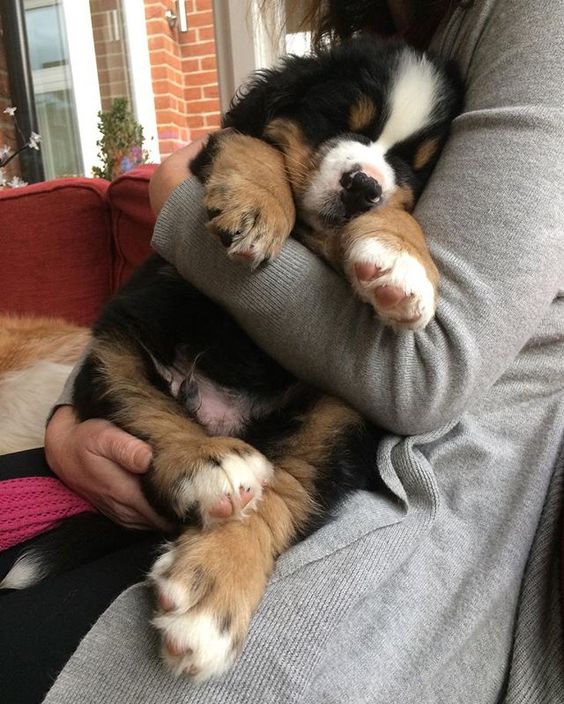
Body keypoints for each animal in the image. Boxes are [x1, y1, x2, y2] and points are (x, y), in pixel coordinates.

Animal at [6, 37, 460, 676]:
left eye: (412, 162)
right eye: (337, 119)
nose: (363, 186)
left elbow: (401, 207)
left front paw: (403, 262)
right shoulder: (221, 147)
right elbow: (251, 144)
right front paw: (258, 205)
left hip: (338, 411)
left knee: (285, 488)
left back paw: (212, 592)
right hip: (115, 349)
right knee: (147, 410)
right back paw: (210, 466)